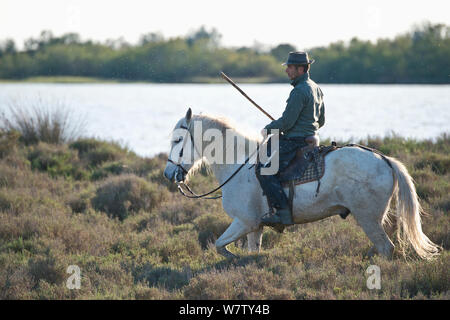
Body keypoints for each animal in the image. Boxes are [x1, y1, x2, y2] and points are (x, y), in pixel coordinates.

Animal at [163, 109, 442, 260]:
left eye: (177, 139)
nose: (168, 174)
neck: (239, 162)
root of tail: (385, 160)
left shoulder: (244, 222)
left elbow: (220, 245)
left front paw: (231, 258)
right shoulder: (255, 227)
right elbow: (249, 252)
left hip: (368, 218)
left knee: (386, 248)